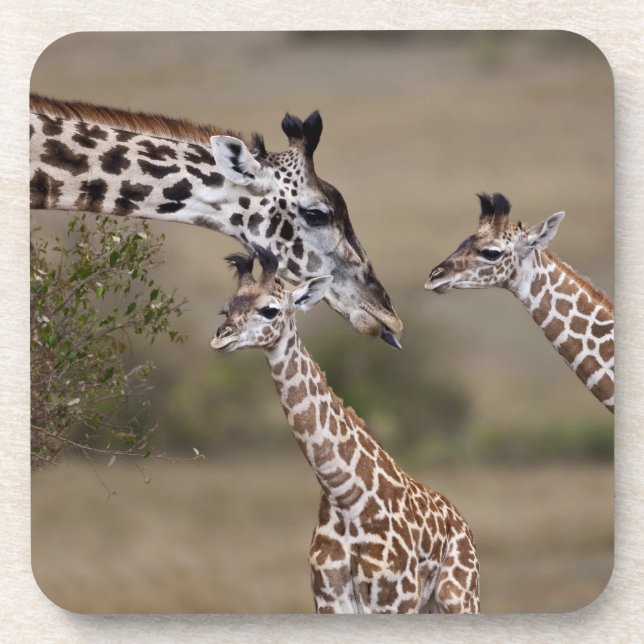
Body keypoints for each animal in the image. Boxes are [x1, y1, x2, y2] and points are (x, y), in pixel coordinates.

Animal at [210, 246, 480, 614]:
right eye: (227, 308)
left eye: (270, 310)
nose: (220, 338)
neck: (345, 493)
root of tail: (461, 521)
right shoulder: (329, 599)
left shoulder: (394, 601)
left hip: (460, 596)